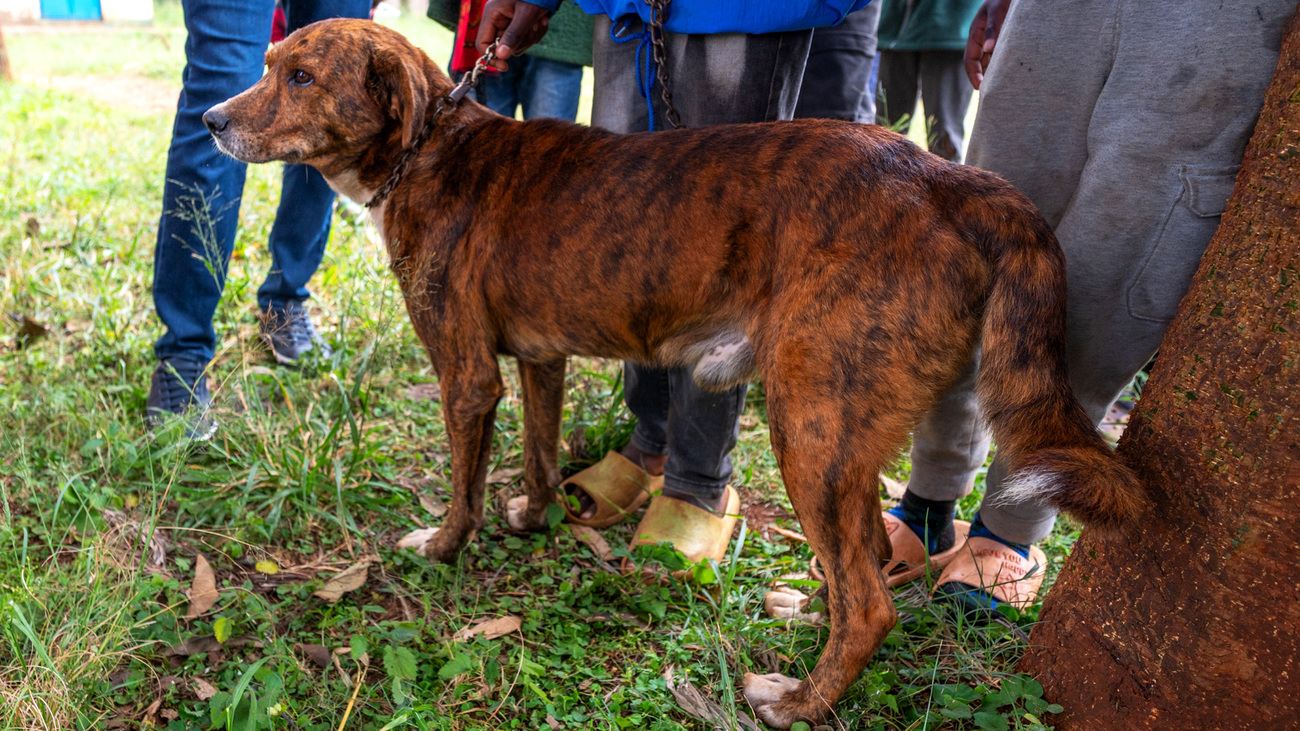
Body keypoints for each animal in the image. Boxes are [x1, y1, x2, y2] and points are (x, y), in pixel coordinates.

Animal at [205, 19, 1149, 723]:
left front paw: (442, 547)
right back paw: (811, 612)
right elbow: (538, 456)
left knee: (869, 600)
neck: (429, 146)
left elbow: (463, 485)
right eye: (268, 66)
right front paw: (535, 518)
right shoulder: (541, 359)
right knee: (869, 565)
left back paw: (799, 700)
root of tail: (948, 177)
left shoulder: (466, 373)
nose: (212, 119)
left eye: (300, 76)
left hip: (813, 424)